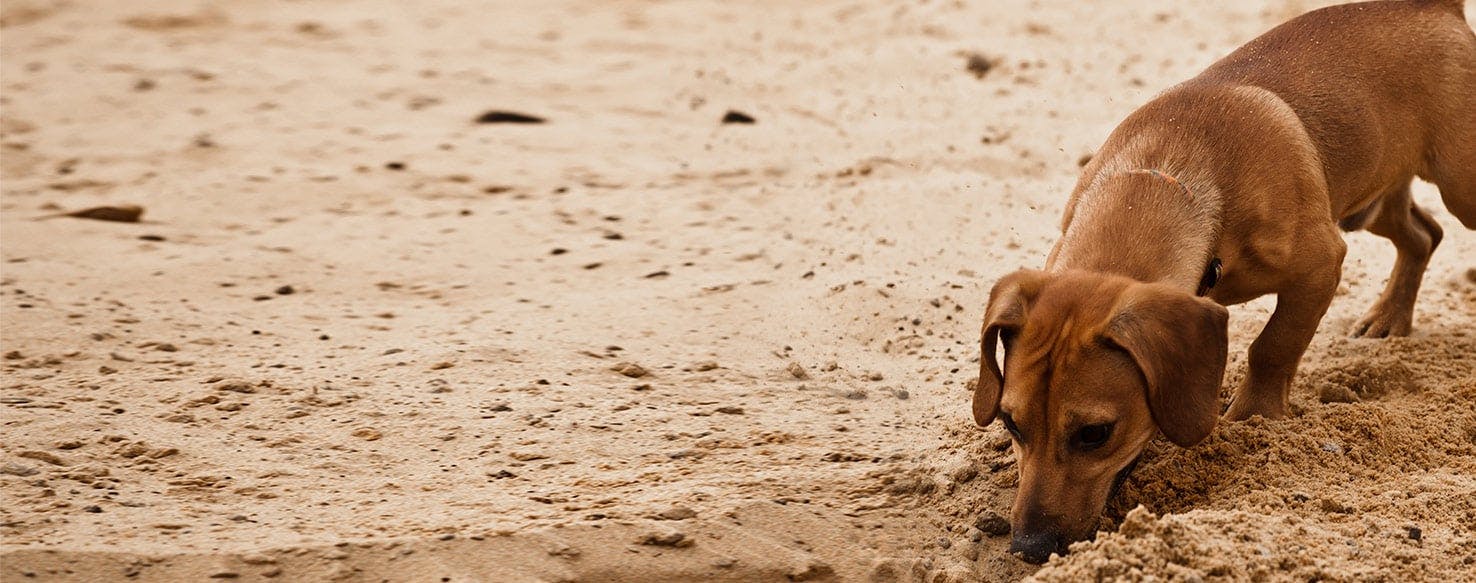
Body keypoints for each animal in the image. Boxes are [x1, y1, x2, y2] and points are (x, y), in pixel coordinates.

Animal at [974, 0, 1470, 566]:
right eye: (1011, 424)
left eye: (1094, 434)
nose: (1029, 547)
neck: (1166, 175)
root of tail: (1437, 8)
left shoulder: (1321, 266)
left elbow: (1272, 346)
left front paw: (1254, 416)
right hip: (1371, 201)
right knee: (1424, 235)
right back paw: (1389, 316)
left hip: (1460, 188)